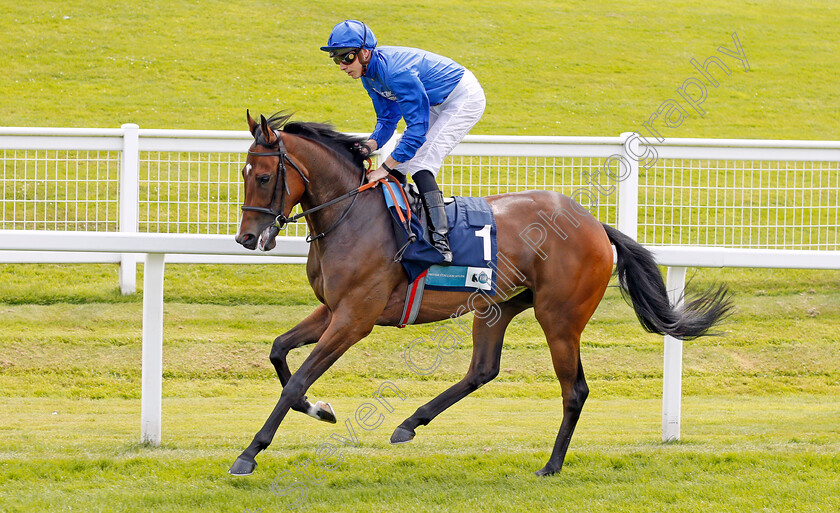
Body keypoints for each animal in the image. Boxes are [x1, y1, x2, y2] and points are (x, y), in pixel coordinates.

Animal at [230, 111, 728, 476]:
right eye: (244, 172)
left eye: (264, 176)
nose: (247, 238)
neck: (352, 216)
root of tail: (594, 224)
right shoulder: (333, 309)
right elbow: (279, 351)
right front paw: (320, 410)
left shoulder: (355, 319)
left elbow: (298, 377)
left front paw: (250, 452)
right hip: (497, 307)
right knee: (483, 369)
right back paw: (410, 424)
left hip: (560, 317)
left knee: (575, 389)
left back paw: (551, 466)